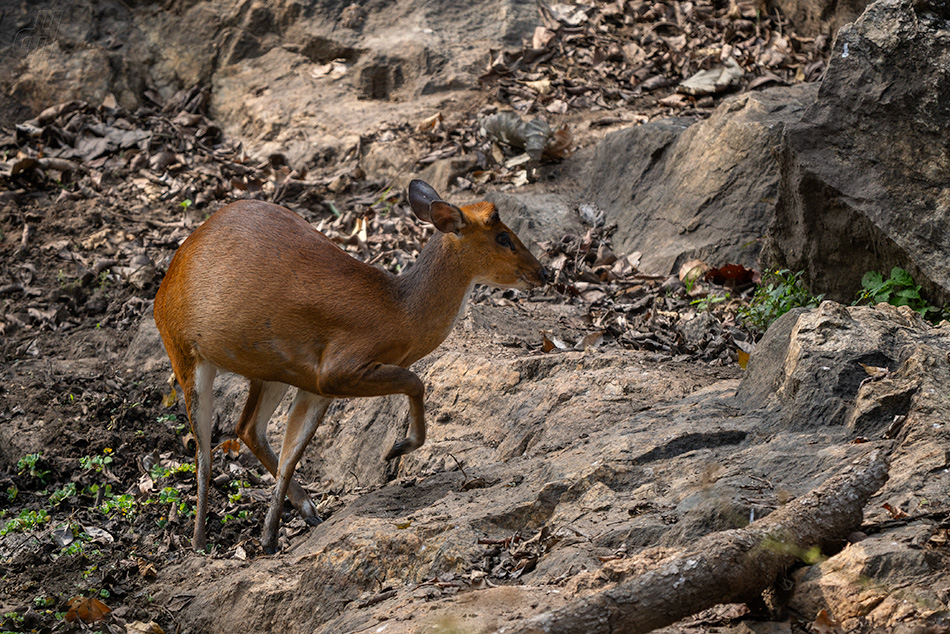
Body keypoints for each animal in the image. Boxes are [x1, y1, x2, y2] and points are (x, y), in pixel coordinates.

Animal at [152, 180, 548, 552]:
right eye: (503, 237)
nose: (543, 272)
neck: (400, 313)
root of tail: (165, 281)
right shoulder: (339, 369)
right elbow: (415, 380)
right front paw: (398, 448)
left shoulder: (316, 384)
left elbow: (292, 453)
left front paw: (270, 538)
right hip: (184, 351)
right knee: (204, 451)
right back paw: (199, 542)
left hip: (271, 368)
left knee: (247, 427)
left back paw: (305, 513)